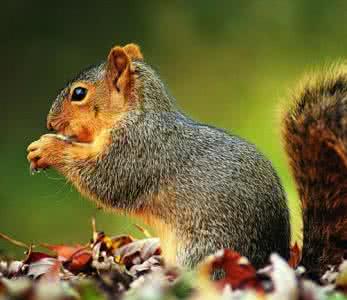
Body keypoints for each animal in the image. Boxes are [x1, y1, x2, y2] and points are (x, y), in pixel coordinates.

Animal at [26, 43, 346, 278]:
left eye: (79, 93)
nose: (50, 122)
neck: (136, 113)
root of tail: (269, 262)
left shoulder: (136, 149)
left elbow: (104, 180)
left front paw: (47, 148)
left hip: (202, 252)